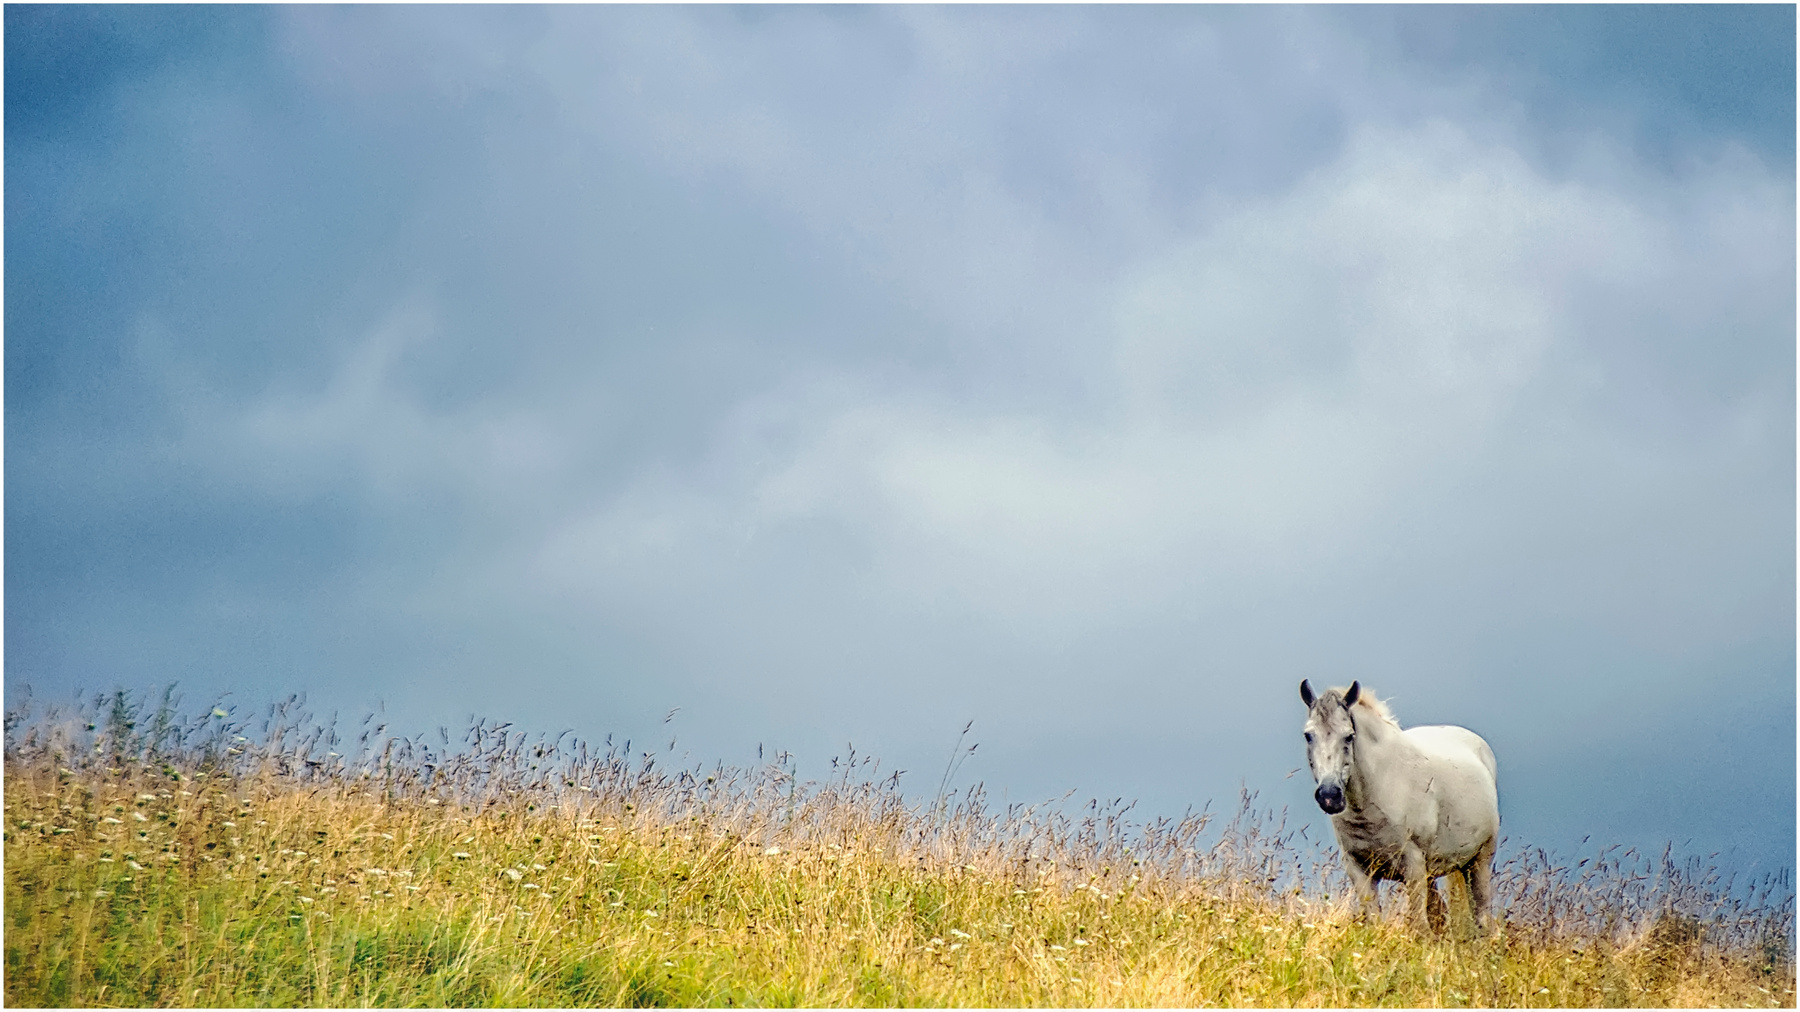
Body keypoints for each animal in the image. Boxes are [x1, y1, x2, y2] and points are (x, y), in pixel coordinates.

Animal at [1299, 680, 1499, 935]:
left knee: (1482, 922)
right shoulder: (1359, 869)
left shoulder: (1413, 867)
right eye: (1308, 735)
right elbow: (1375, 921)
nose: (1329, 795)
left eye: (1349, 736)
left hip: (1479, 863)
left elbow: (1418, 927)